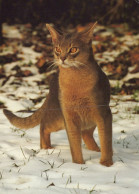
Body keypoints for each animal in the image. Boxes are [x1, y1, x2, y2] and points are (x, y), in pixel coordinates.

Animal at [3, 22, 113, 165]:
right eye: (58, 49)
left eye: (73, 49)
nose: (62, 58)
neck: (75, 81)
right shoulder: (69, 117)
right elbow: (74, 144)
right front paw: (78, 164)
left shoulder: (103, 114)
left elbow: (106, 140)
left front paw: (106, 163)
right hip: (59, 117)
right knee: (44, 125)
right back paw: (46, 148)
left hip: (88, 119)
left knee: (86, 133)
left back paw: (95, 150)